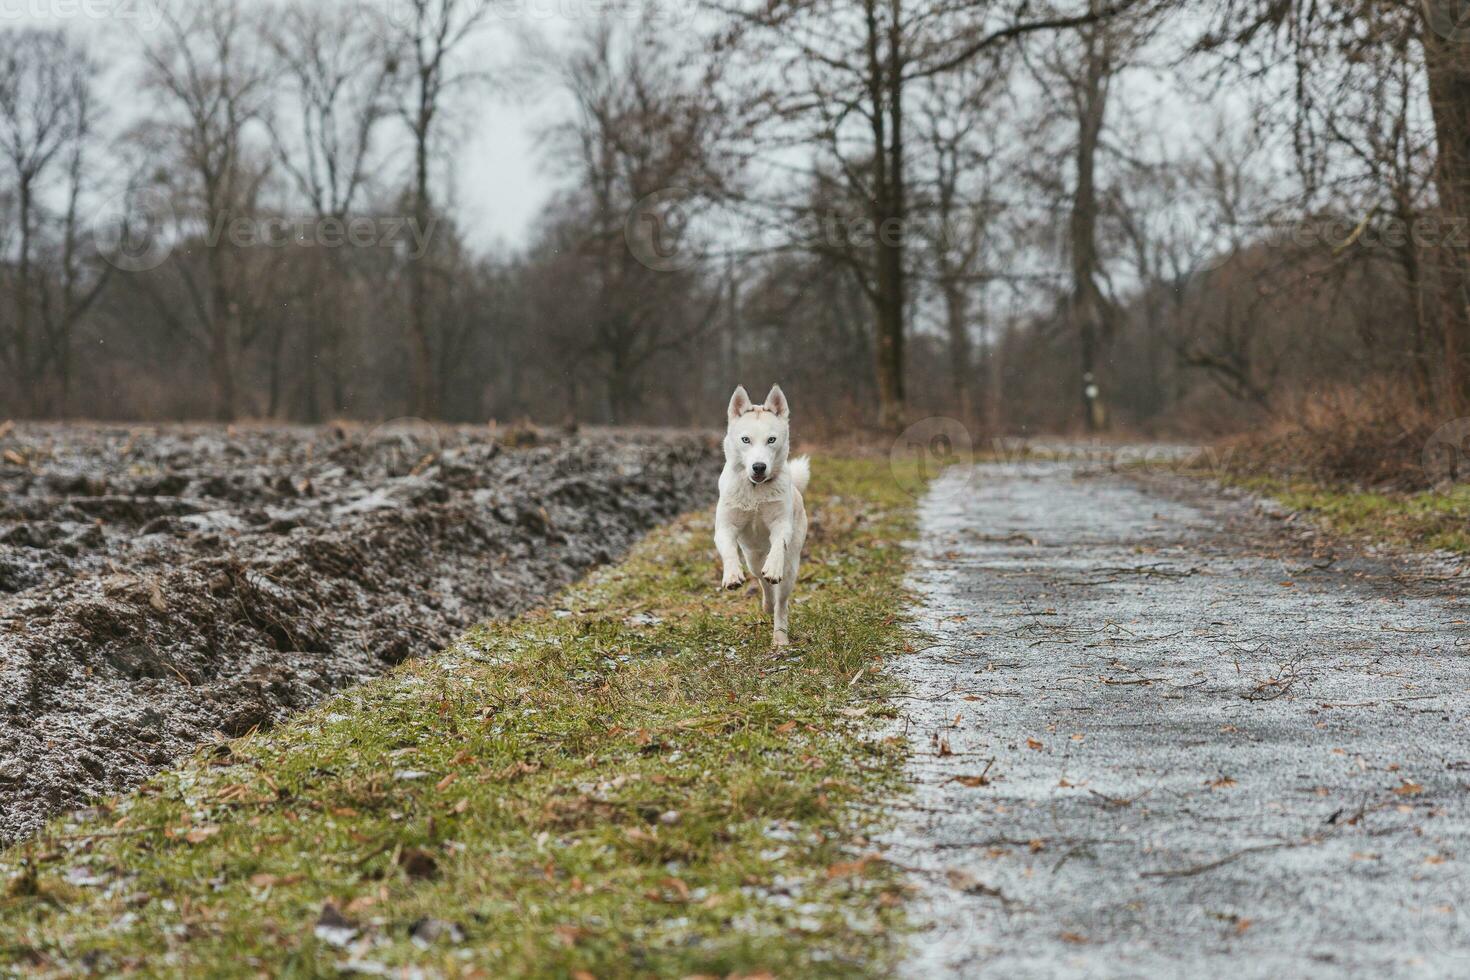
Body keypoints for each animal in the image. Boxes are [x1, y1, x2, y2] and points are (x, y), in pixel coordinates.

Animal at [714, 384, 817, 652]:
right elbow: (728, 550)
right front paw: (732, 575)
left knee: (781, 601)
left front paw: (773, 566)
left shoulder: (781, 526)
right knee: (762, 581)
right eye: (745, 439)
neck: (755, 492)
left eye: (771, 440)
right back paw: (766, 605)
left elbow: (778, 545)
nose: (759, 467)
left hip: (791, 568)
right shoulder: (725, 528)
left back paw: (780, 637)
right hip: (752, 557)